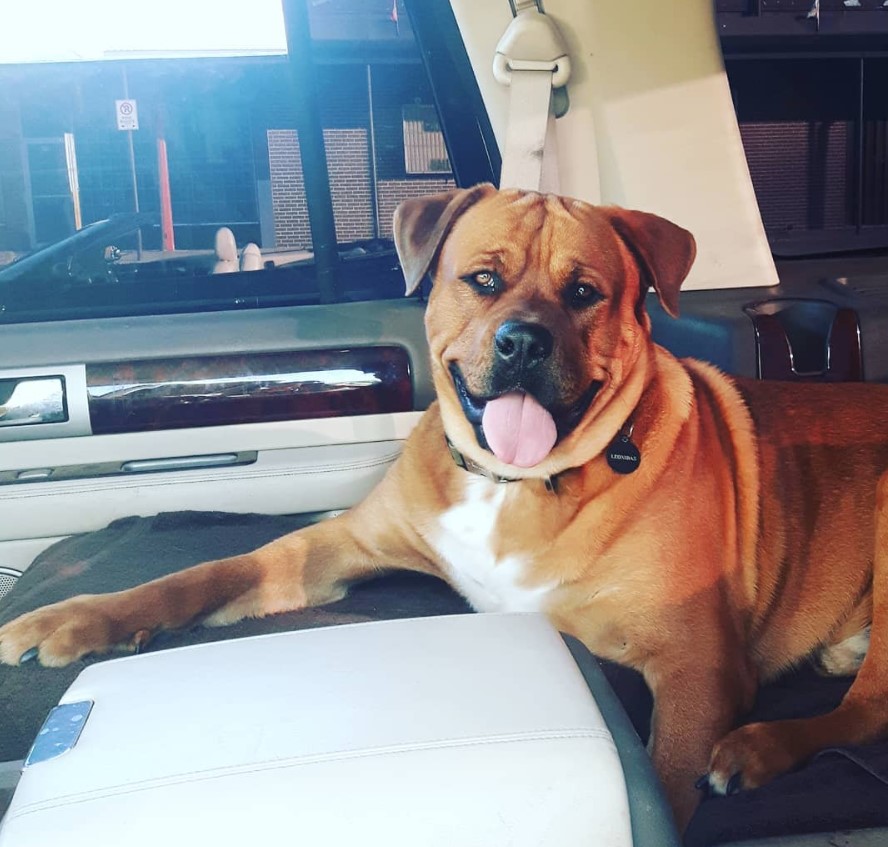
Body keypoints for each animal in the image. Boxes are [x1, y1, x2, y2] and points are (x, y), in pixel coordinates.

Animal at [1, 184, 888, 828]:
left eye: (585, 292)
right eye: (483, 280)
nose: (522, 340)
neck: (514, 484)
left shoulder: (696, 669)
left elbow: (666, 771)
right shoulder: (330, 549)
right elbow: (205, 573)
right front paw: (76, 617)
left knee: (864, 710)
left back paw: (761, 747)